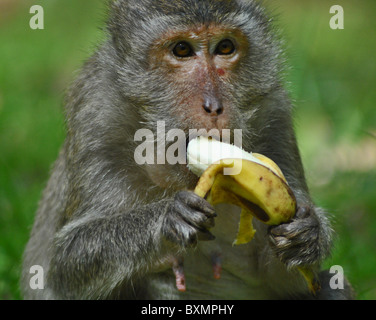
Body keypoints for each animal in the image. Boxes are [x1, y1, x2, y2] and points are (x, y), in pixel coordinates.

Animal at [21, 0, 356, 300]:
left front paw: (307, 234)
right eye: (181, 49)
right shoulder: (95, 112)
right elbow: (66, 264)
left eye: (225, 47)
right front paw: (167, 218)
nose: (214, 105)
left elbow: (290, 282)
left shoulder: (276, 115)